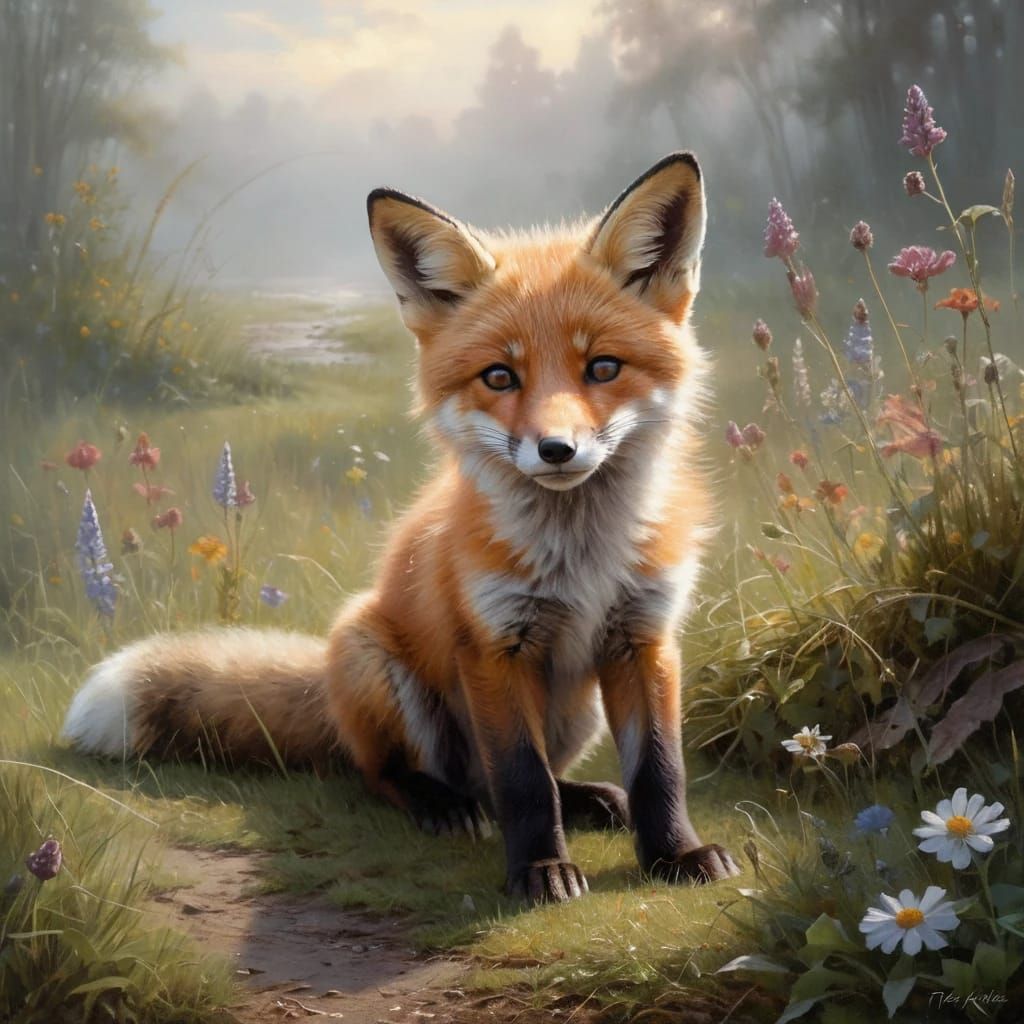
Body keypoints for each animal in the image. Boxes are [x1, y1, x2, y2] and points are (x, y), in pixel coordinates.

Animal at [63, 152, 740, 902]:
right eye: (499, 377)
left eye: (603, 368)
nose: (557, 450)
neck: (580, 555)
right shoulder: (494, 648)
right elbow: (523, 781)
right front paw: (539, 869)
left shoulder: (644, 638)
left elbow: (658, 769)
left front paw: (677, 855)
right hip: (375, 661)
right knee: (407, 776)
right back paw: (440, 804)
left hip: (577, 705)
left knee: (510, 778)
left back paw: (588, 799)